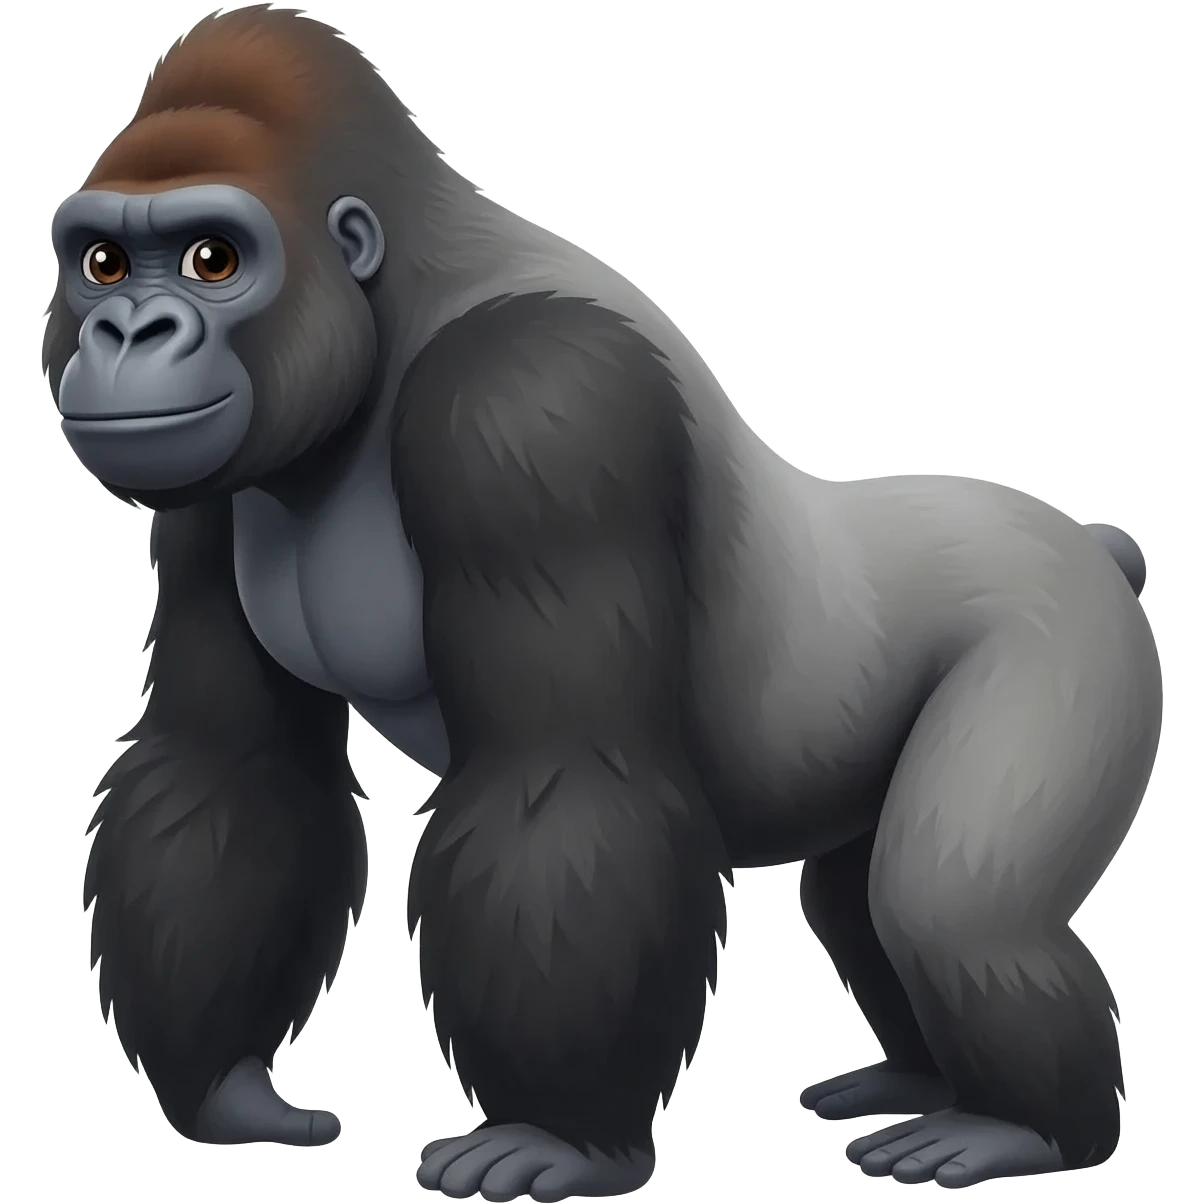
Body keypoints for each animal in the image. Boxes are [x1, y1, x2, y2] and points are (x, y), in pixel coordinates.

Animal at [43, 5, 1162, 1197]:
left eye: (213, 258)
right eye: (102, 262)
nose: (126, 333)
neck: (392, 305)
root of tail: (1091, 544)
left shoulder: (534, 407)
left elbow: (564, 777)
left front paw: (562, 1135)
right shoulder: (209, 493)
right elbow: (225, 761)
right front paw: (221, 1087)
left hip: (1060, 630)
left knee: (951, 909)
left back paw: (1024, 1127)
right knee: (863, 900)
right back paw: (917, 1079)